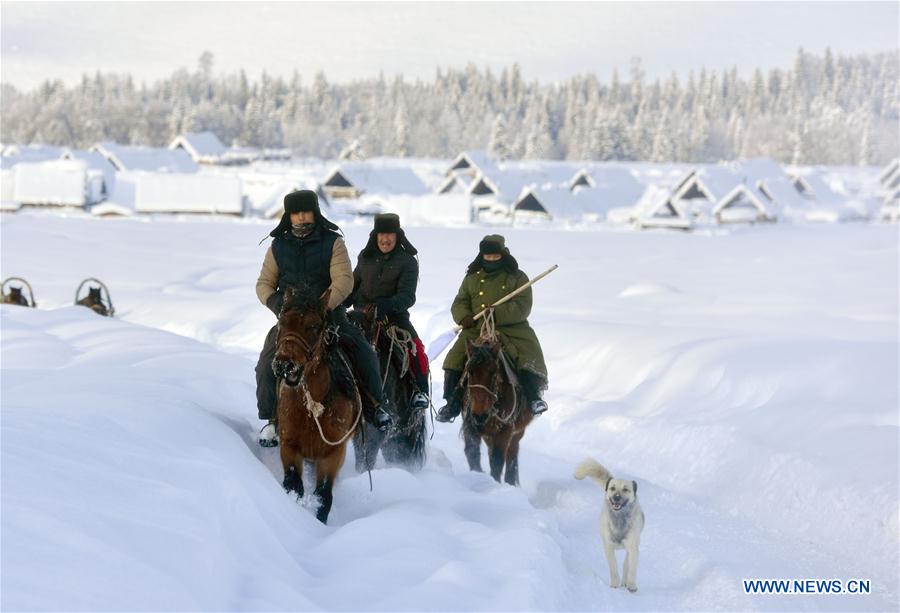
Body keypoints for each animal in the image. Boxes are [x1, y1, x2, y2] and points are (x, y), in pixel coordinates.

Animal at [270, 286, 362, 520]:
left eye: (313, 326)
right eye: (282, 323)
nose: (285, 365)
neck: (312, 408)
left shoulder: (333, 453)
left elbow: (323, 496)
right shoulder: (289, 446)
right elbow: (294, 485)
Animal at [460, 338, 532, 486]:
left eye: (493, 372)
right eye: (469, 371)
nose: (480, 415)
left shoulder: (505, 430)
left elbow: (497, 461)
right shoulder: (470, 425)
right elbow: (472, 452)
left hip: (517, 433)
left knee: (511, 456)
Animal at [576, 456, 640, 592]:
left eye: (625, 489)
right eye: (612, 488)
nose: (616, 497)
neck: (619, 519)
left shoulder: (632, 547)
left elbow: (631, 568)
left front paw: (631, 585)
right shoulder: (609, 547)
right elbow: (613, 568)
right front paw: (615, 584)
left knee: (626, 563)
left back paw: (625, 581)